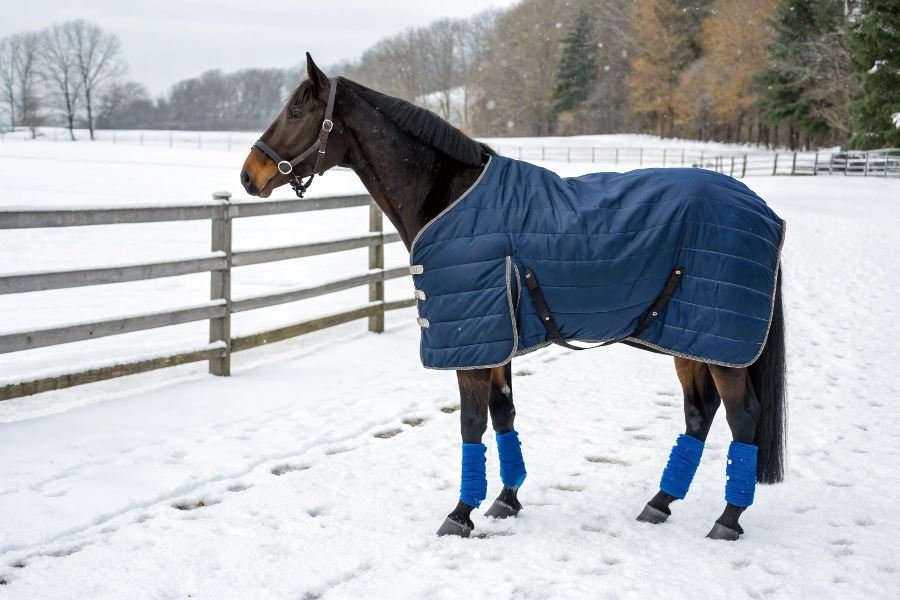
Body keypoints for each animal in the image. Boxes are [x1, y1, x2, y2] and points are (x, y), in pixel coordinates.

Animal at [240, 54, 787, 542]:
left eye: (296, 111)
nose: (250, 174)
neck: (452, 199)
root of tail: (764, 211)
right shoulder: (496, 339)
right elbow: (503, 415)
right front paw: (507, 499)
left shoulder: (472, 345)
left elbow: (470, 424)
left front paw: (460, 513)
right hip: (689, 338)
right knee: (699, 413)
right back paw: (660, 504)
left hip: (721, 345)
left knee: (742, 417)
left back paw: (727, 520)